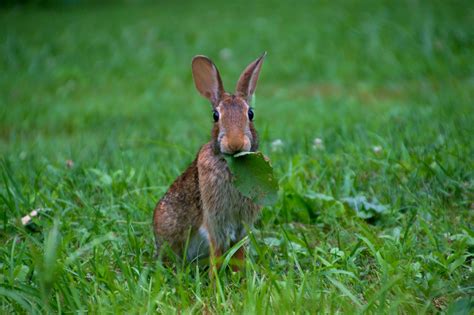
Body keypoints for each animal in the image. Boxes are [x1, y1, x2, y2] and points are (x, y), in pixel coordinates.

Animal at [155, 53, 266, 270]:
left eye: (251, 113)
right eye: (215, 115)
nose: (235, 143)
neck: (232, 164)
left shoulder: (242, 227)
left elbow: (238, 255)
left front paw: (239, 277)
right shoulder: (214, 223)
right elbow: (216, 253)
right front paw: (215, 280)